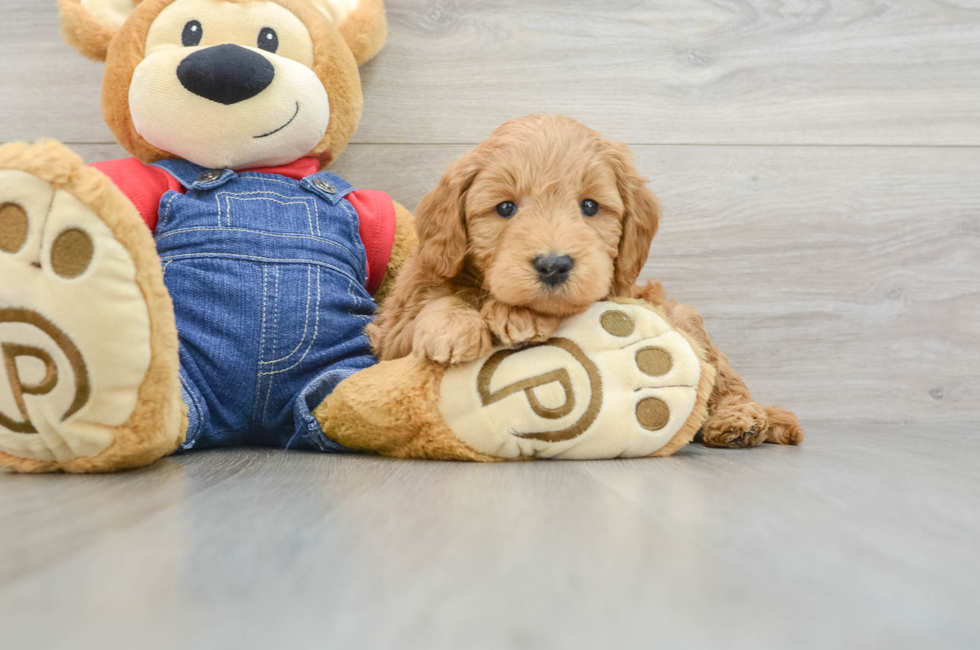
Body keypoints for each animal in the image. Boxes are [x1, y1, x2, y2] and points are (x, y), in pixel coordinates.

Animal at [370, 112, 804, 446]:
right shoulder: (391, 334)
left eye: (590, 206)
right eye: (505, 208)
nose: (553, 265)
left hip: (684, 318)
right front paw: (456, 326)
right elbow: (437, 303)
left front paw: (517, 315)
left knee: (727, 381)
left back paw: (738, 421)